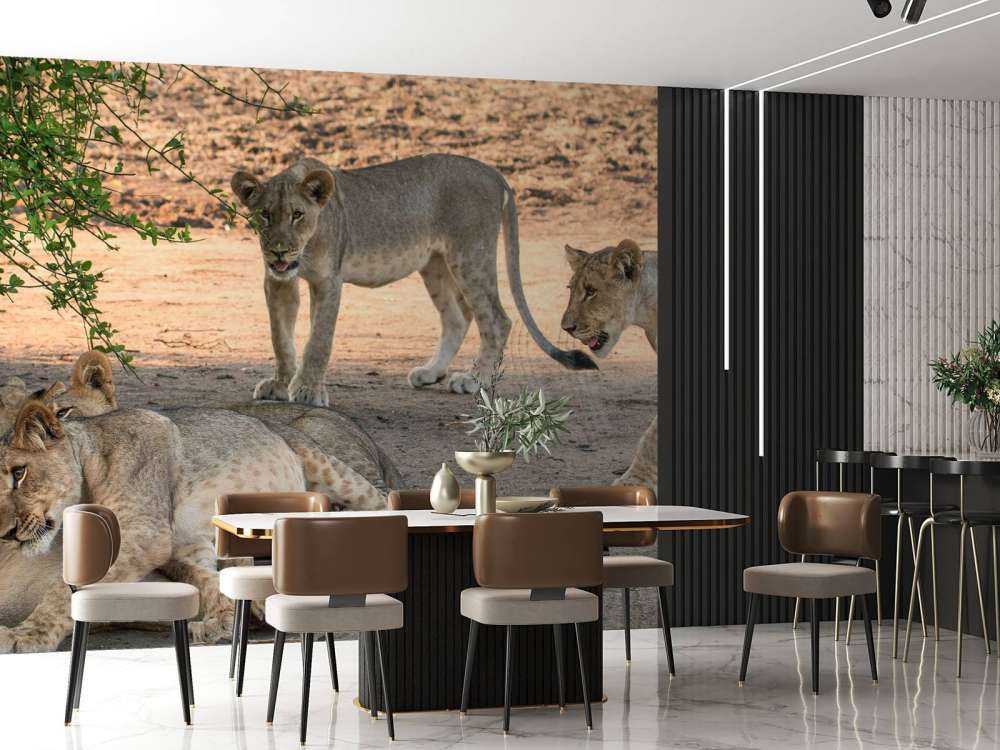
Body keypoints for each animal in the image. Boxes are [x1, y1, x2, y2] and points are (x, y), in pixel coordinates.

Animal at [230, 154, 596, 407]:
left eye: (297, 214)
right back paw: (431, 372)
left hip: (470, 256)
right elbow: (280, 338)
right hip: (435, 264)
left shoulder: (329, 281)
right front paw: (280, 386)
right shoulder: (278, 282)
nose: (279, 251)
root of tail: (493, 173)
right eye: (264, 214)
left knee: (496, 319)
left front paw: (306, 390)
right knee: (457, 318)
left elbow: (318, 341)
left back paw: (475, 380)